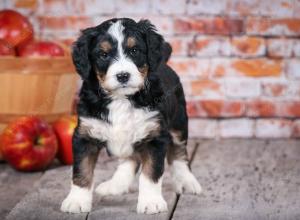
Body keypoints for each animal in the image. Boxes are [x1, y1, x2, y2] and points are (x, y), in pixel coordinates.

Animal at [60, 18, 202, 214]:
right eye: (103, 54)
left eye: (134, 51)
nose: (122, 76)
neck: (121, 99)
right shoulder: (85, 134)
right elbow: (82, 169)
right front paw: (77, 200)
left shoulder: (155, 136)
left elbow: (151, 173)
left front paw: (151, 202)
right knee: (130, 159)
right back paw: (115, 185)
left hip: (178, 122)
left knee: (179, 153)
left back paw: (187, 181)